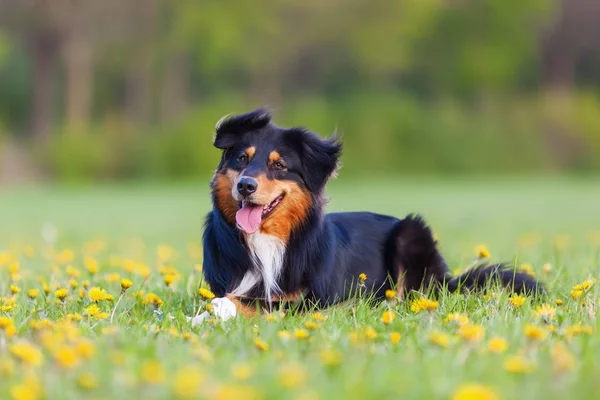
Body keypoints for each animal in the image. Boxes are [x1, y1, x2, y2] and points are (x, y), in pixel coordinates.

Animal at [199, 108, 540, 320]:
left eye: (279, 165)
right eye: (242, 159)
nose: (245, 185)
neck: (265, 240)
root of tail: (448, 279)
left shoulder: (310, 300)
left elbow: (253, 301)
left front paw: (215, 310)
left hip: (411, 231)